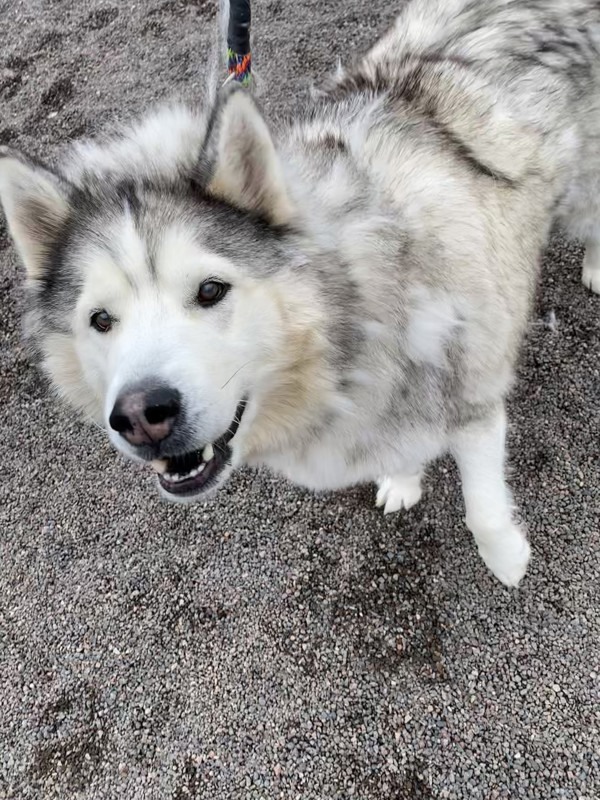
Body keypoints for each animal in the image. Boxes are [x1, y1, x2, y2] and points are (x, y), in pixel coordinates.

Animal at [0, 0, 596, 588]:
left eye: (211, 290)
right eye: (101, 320)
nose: (143, 415)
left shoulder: (476, 397)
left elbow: (483, 507)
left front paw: (507, 559)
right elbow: (401, 450)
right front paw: (404, 479)